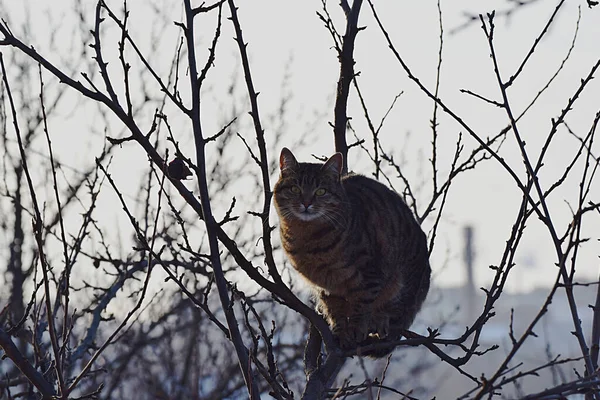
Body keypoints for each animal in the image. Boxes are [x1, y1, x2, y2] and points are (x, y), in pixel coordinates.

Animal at [272, 147, 432, 356]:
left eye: (321, 191)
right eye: (295, 189)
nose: (306, 203)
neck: (308, 238)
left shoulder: (370, 271)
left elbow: (362, 304)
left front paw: (356, 328)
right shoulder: (327, 287)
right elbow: (336, 312)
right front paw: (341, 332)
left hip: (404, 282)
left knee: (394, 313)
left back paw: (380, 320)